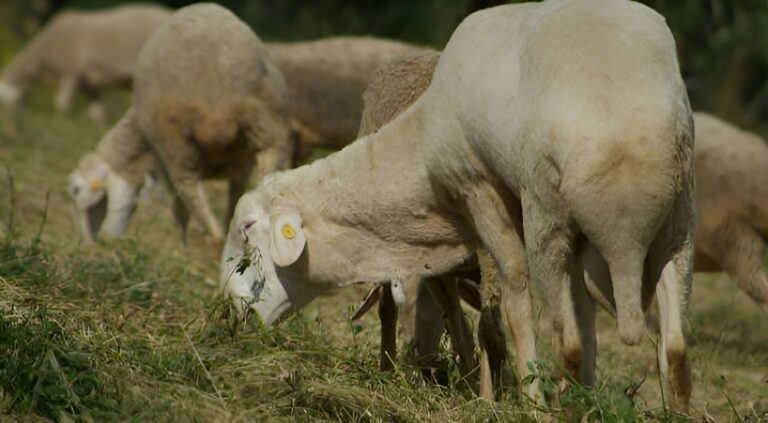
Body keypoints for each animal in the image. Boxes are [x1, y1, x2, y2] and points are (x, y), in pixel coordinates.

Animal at [0, 4, 171, 126]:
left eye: (10, 106)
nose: (11, 131)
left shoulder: (71, 70)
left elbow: (62, 103)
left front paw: (61, 127)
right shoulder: (88, 84)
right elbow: (96, 113)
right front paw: (99, 130)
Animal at [68, 3, 292, 245]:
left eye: (76, 190)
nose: (92, 243)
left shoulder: (160, 164)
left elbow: (178, 206)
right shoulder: (241, 165)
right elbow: (236, 196)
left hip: (173, 140)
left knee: (188, 188)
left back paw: (210, 239)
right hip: (268, 127)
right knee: (269, 173)